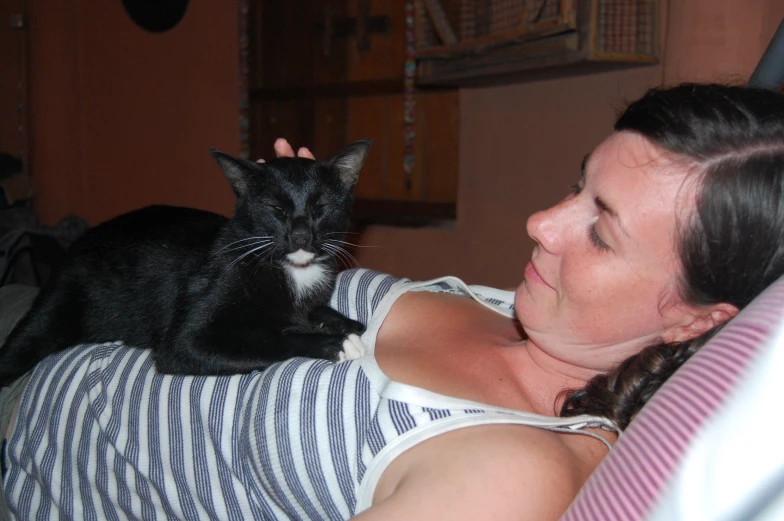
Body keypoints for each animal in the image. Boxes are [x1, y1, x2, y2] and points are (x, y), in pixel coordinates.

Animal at [0, 140, 372, 384]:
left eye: (321, 207)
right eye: (275, 209)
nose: (300, 236)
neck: (293, 270)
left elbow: (318, 313)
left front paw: (350, 326)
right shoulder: (189, 337)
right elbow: (270, 337)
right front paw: (334, 343)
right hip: (56, 303)